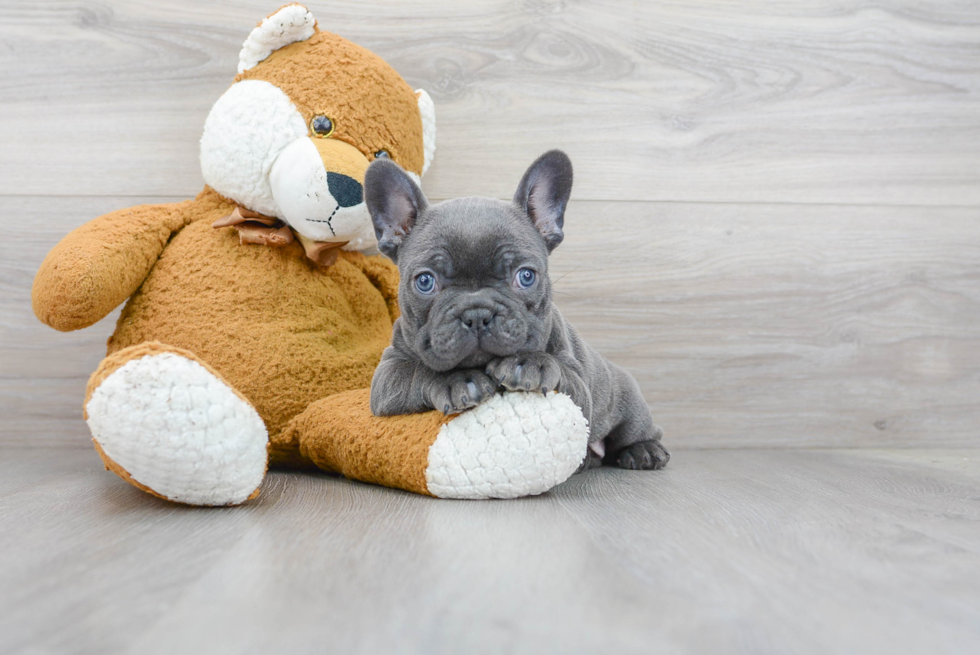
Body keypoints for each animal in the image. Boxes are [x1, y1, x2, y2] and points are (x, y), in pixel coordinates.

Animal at [364, 152, 668, 472]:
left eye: (525, 276)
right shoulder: (387, 377)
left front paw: (528, 363)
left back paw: (644, 450)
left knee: (640, 430)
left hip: (628, 406)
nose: (477, 313)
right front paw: (458, 380)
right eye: (425, 281)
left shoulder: (578, 389)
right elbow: (416, 371)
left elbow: (561, 371)